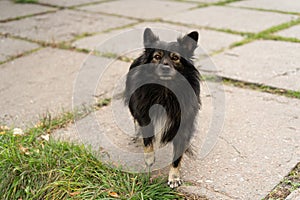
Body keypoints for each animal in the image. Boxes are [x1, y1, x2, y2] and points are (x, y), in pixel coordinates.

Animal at [124, 27, 202, 188]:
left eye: (175, 58)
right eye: (157, 56)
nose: (165, 67)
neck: (165, 90)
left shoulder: (183, 125)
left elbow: (177, 157)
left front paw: (174, 177)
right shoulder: (144, 115)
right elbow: (148, 141)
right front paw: (149, 160)